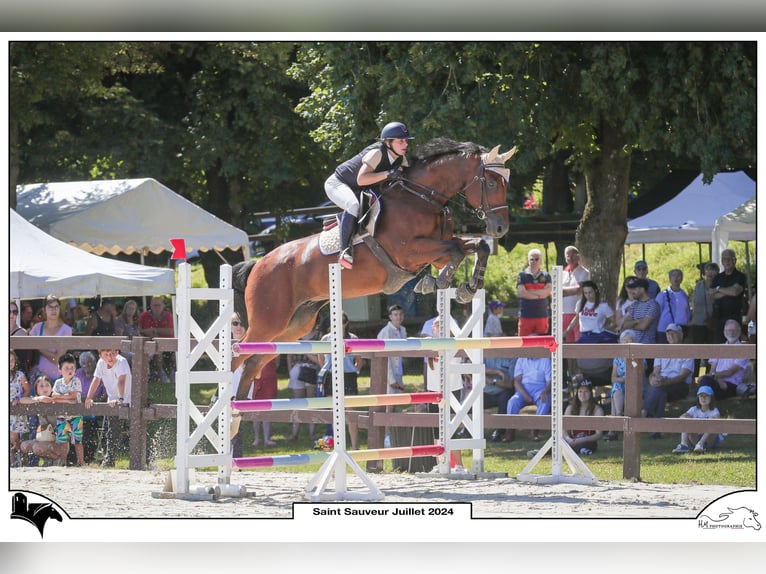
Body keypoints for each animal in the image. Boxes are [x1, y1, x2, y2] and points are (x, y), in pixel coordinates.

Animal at [234, 140, 520, 400]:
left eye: (507, 183)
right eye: (491, 183)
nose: (500, 228)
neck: (421, 198)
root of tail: (259, 263)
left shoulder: (437, 253)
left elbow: (477, 246)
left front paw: (468, 287)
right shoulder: (410, 251)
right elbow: (457, 251)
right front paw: (438, 283)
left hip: (295, 324)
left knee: (252, 361)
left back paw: (237, 412)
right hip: (268, 321)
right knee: (238, 352)